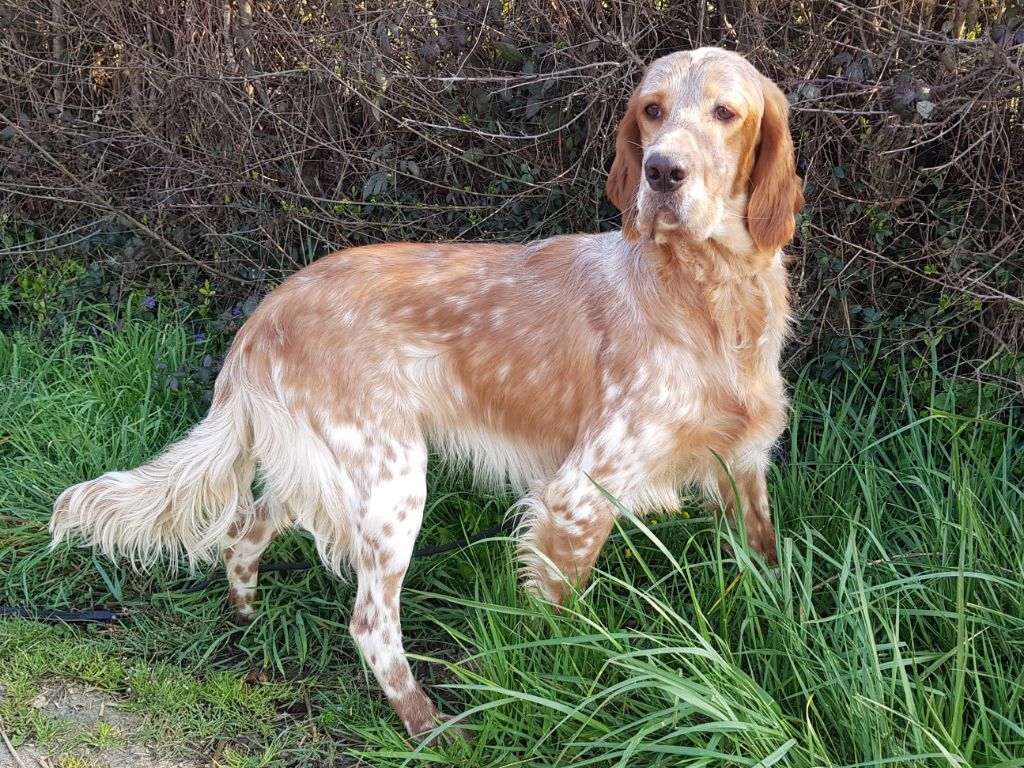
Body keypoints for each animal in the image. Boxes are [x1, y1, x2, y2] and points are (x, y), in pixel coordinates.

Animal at [51, 46, 802, 741]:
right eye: (652, 109)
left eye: (725, 112)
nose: (663, 172)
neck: (708, 293)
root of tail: (263, 318)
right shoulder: (580, 494)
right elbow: (567, 624)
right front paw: (567, 689)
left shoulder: (742, 467)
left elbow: (767, 561)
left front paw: (783, 624)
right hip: (391, 480)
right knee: (370, 623)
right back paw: (429, 725)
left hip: (324, 471)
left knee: (245, 529)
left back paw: (245, 620)